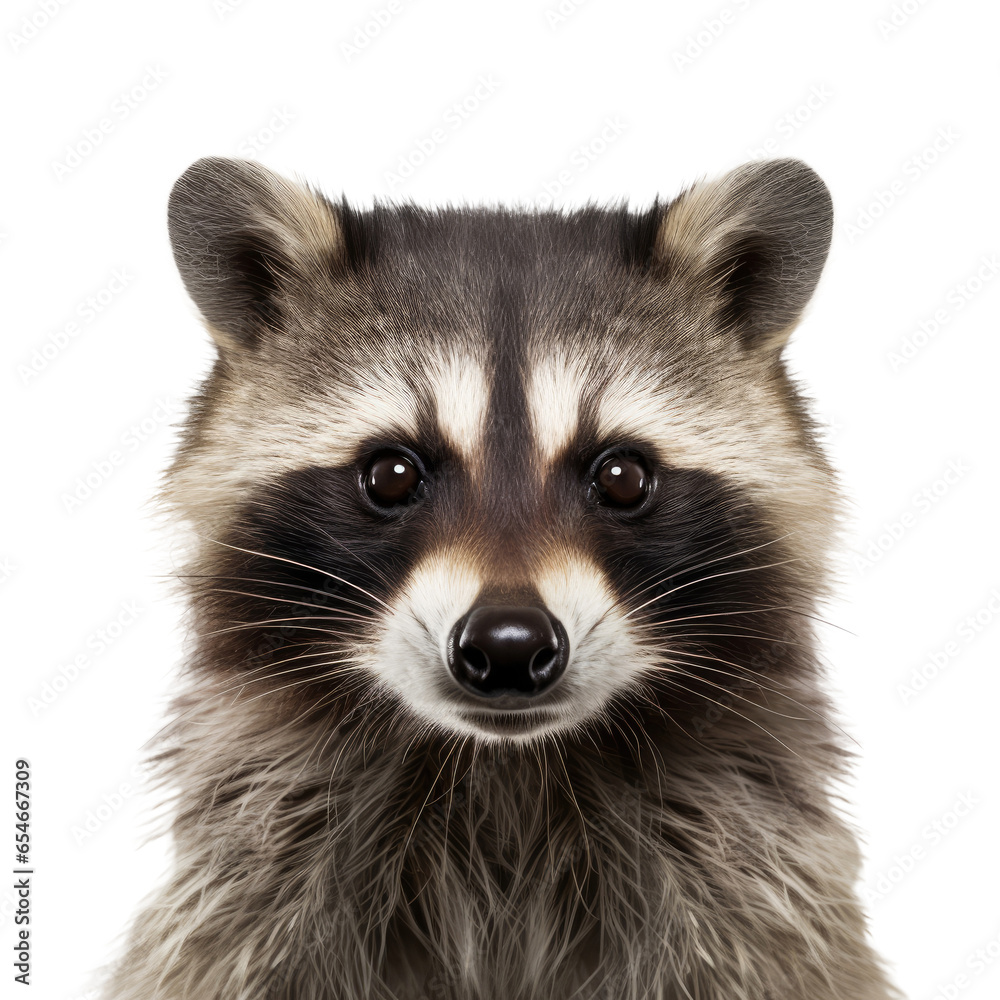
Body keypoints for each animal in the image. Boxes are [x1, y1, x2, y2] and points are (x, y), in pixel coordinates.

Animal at [102, 157, 898, 999]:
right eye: (390, 475)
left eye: (621, 476)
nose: (509, 644)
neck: (502, 773)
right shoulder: (262, 876)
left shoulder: (743, 873)